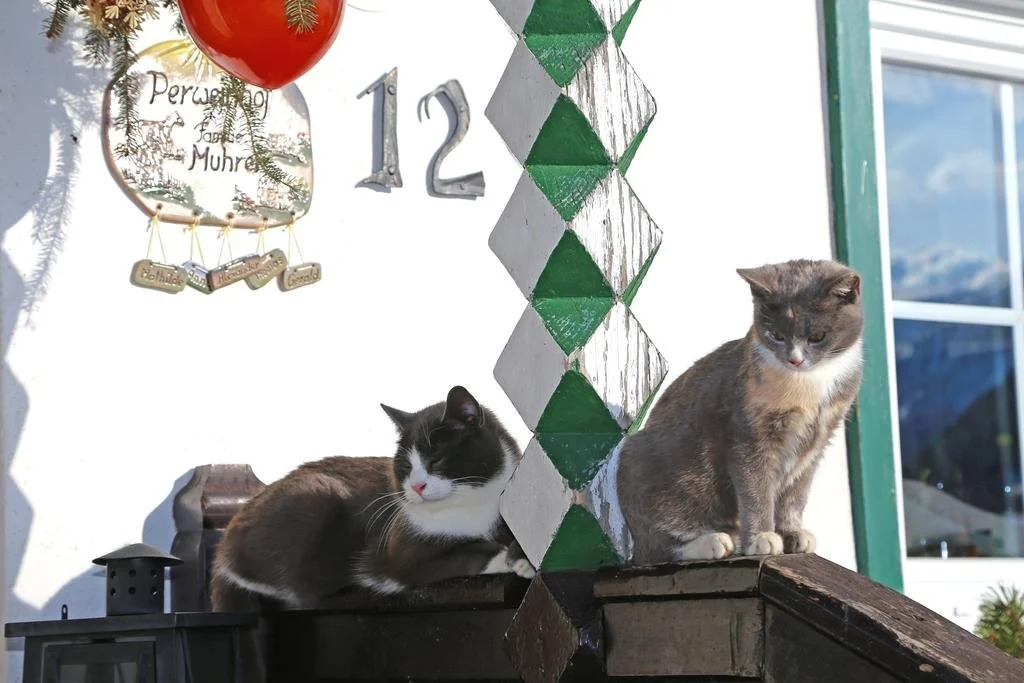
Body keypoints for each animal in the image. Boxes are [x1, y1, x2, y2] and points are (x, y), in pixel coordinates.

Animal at [210, 386, 534, 611]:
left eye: (436, 459)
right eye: (405, 467)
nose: (416, 486)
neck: (471, 506)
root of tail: (223, 551)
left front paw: (520, 554)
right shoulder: (402, 550)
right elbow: (463, 556)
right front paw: (512, 560)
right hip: (316, 495)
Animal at [618, 259, 864, 564]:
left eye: (817, 336)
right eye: (776, 335)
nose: (795, 359)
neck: (809, 384)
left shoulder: (818, 439)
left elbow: (796, 493)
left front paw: (792, 533)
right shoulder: (747, 435)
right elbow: (755, 489)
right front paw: (761, 538)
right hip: (637, 459)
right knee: (656, 550)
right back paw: (712, 542)